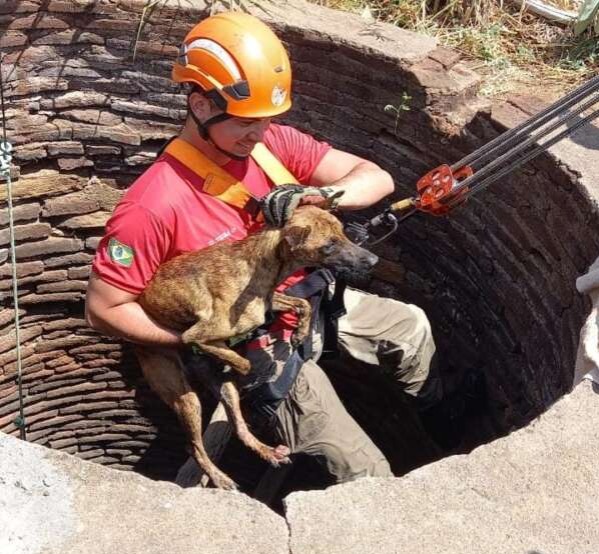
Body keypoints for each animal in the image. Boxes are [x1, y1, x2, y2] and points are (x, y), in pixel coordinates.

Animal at [137, 204, 380, 488]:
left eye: (343, 233)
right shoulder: (194, 336)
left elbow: (302, 304)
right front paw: (243, 365)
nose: (373, 260)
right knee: (194, 446)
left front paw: (300, 333)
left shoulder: (268, 301)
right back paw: (220, 478)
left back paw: (266, 451)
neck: (258, 264)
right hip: (185, 397)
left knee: (239, 428)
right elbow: (244, 361)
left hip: (222, 393)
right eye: (329, 244)